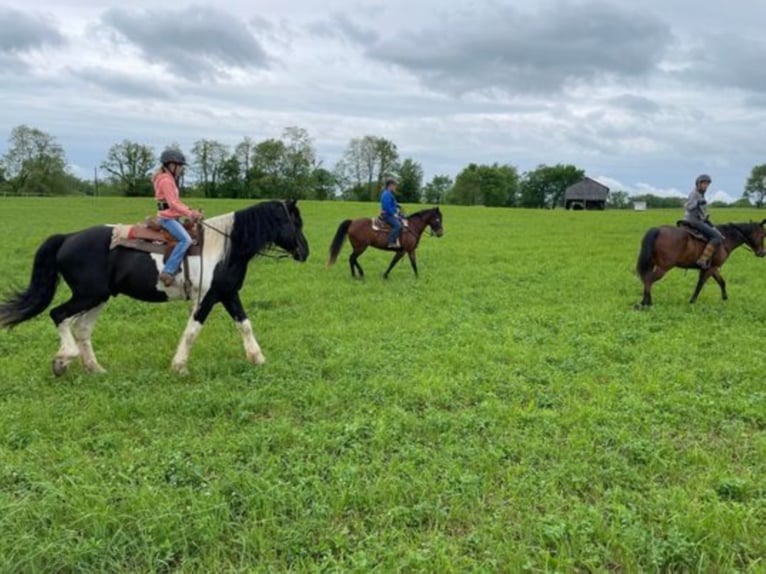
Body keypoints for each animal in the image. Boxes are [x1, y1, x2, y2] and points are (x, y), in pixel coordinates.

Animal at [1, 200, 312, 376]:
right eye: (294, 221)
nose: (305, 252)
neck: (224, 247)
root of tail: (68, 237)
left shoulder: (227, 293)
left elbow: (245, 325)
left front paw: (257, 358)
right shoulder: (207, 298)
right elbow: (192, 332)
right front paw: (179, 366)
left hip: (98, 297)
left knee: (81, 328)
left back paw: (94, 368)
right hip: (88, 295)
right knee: (58, 315)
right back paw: (64, 359)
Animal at [636, 222, 766, 310]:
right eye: (762, 235)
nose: (762, 253)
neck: (725, 239)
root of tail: (658, 229)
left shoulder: (712, 268)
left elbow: (721, 282)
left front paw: (725, 298)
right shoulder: (711, 268)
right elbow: (700, 284)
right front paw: (692, 301)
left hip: (652, 264)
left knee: (646, 279)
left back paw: (644, 302)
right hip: (663, 268)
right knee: (649, 280)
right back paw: (647, 303)